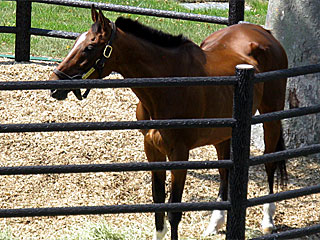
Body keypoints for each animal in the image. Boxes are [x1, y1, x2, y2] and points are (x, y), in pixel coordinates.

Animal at [49, 6, 288, 239]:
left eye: (89, 47)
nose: (54, 83)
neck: (167, 85)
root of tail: (265, 33)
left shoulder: (179, 154)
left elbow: (174, 211)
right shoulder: (152, 150)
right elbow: (158, 204)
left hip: (271, 118)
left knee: (269, 161)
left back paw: (268, 221)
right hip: (223, 133)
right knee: (224, 171)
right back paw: (215, 223)